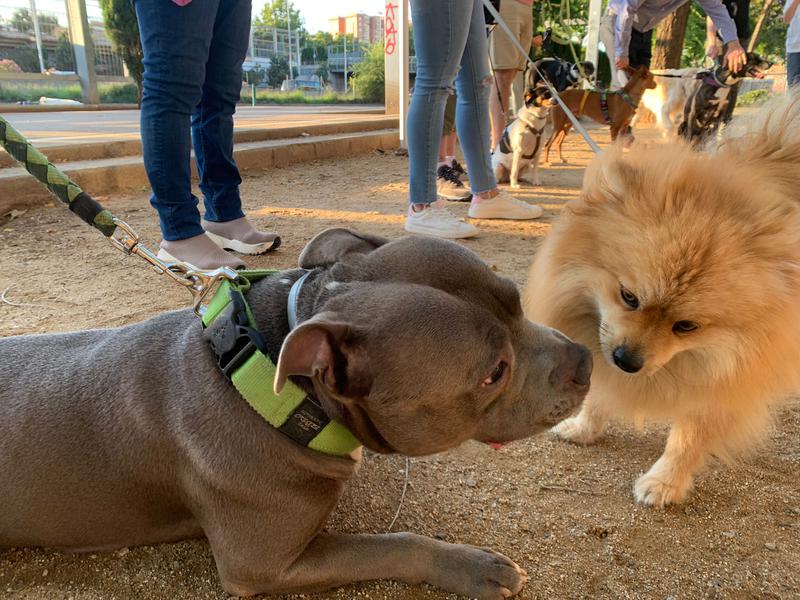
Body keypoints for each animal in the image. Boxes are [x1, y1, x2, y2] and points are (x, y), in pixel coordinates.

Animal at [0, 231, 588, 600]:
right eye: (494, 373)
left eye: (516, 298)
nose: (586, 359)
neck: (266, 377)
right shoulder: (263, 565)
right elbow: (392, 543)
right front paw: (473, 566)